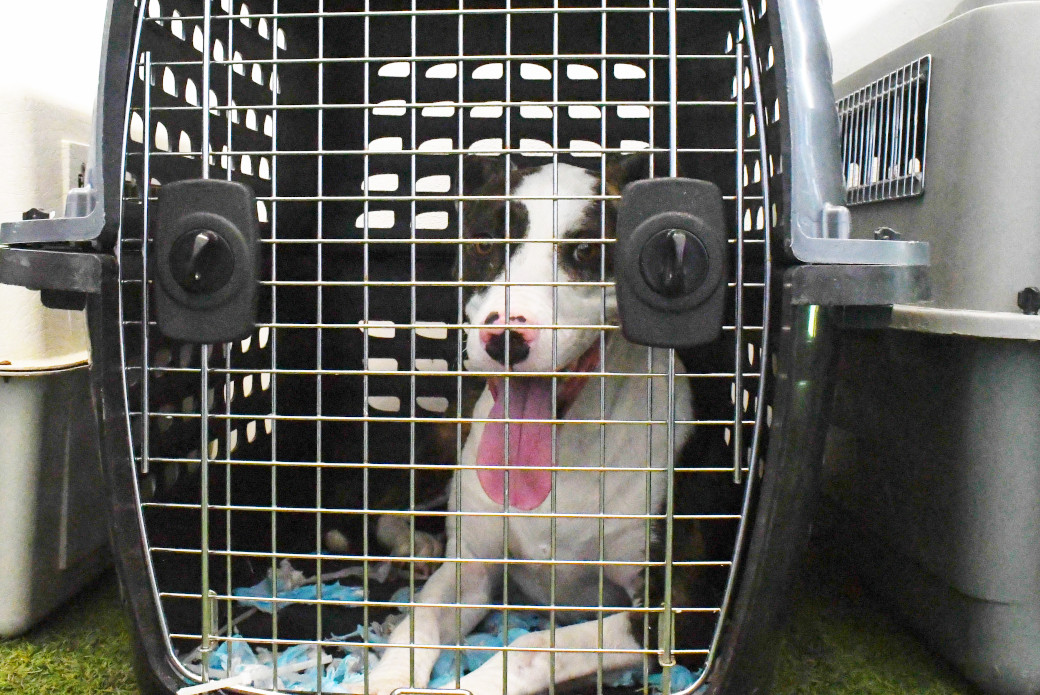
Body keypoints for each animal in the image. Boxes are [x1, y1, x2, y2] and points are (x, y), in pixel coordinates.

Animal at [353, 156, 694, 695]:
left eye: (584, 250)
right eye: (483, 243)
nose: (505, 340)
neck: (567, 444)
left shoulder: (672, 608)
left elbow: (533, 647)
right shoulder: (469, 573)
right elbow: (417, 621)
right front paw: (384, 679)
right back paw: (415, 542)